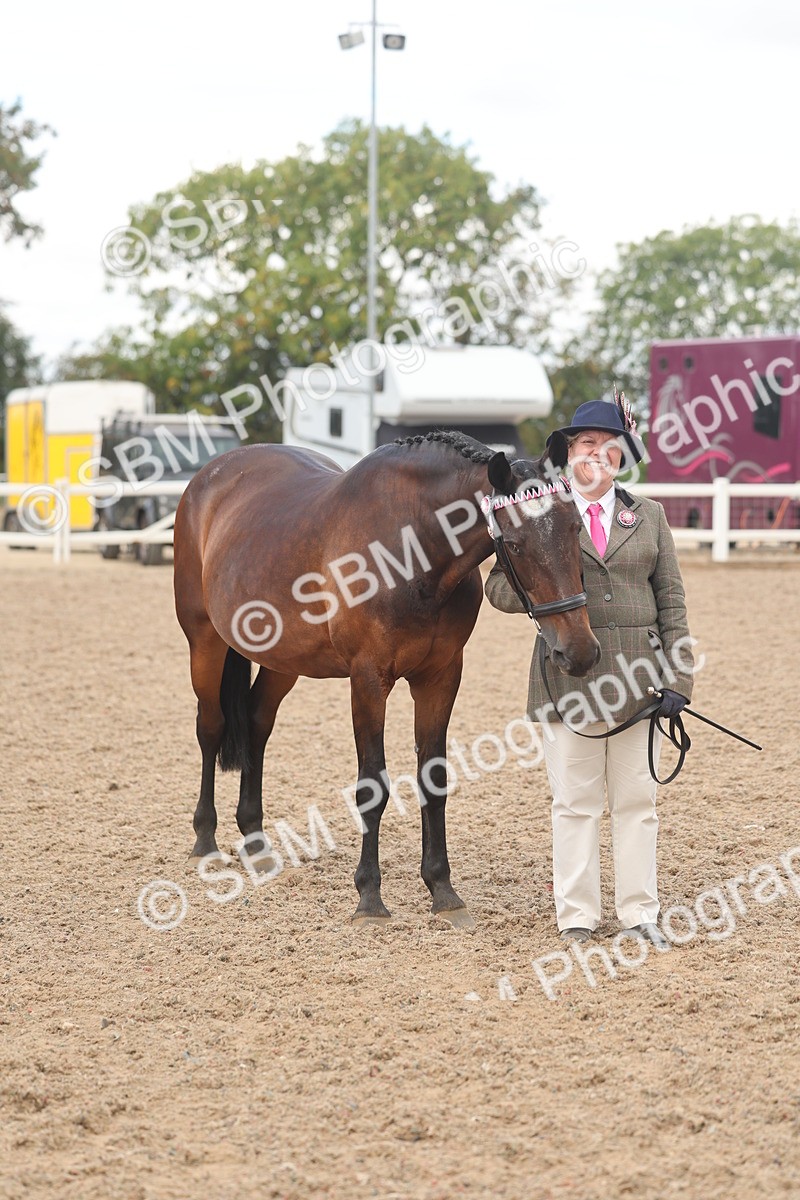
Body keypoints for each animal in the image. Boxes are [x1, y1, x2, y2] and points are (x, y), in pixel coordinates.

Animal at [173, 430, 601, 927]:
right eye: (513, 544)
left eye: (575, 528)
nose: (579, 651)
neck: (410, 550)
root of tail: (212, 475)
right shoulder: (368, 680)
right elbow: (372, 785)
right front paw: (369, 897)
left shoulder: (441, 677)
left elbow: (433, 778)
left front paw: (442, 890)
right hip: (204, 641)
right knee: (211, 727)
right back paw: (206, 839)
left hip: (283, 660)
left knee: (258, 725)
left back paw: (256, 841)